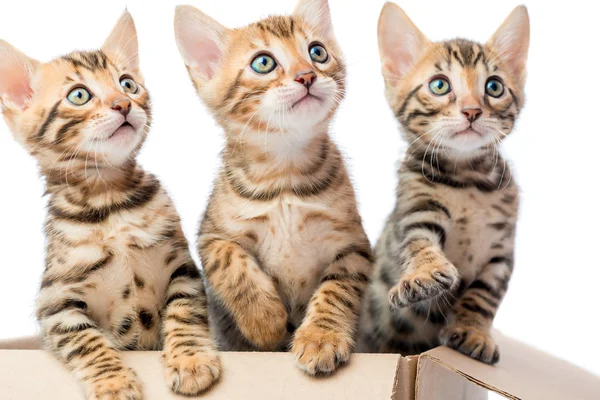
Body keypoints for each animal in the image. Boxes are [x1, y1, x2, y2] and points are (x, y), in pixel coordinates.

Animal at [0, 10, 220, 398]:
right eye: (79, 95)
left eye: (128, 84)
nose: (123, 104)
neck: (111, 201)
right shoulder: (55, 302)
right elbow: (85, 341)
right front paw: (113, 381)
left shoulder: (181, 267)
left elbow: (185, 312)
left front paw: (191, 360)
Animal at [171, 0, 372, 376]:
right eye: (263, 63)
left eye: (317, 52)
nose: (307, 75)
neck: (285, 177)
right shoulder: (211, 236)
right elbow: (232, 264)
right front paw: (264, 322)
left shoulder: (354, 244)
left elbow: (337, 289)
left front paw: (321, 337)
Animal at [358, 3, 528, 366]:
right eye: (439, 85)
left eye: (494, 87)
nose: (472, 111)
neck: (468, 182)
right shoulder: (415, 213)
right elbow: (420, 246)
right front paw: (423, 276)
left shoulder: (501, 251)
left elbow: (485, 294)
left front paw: (474, 332)